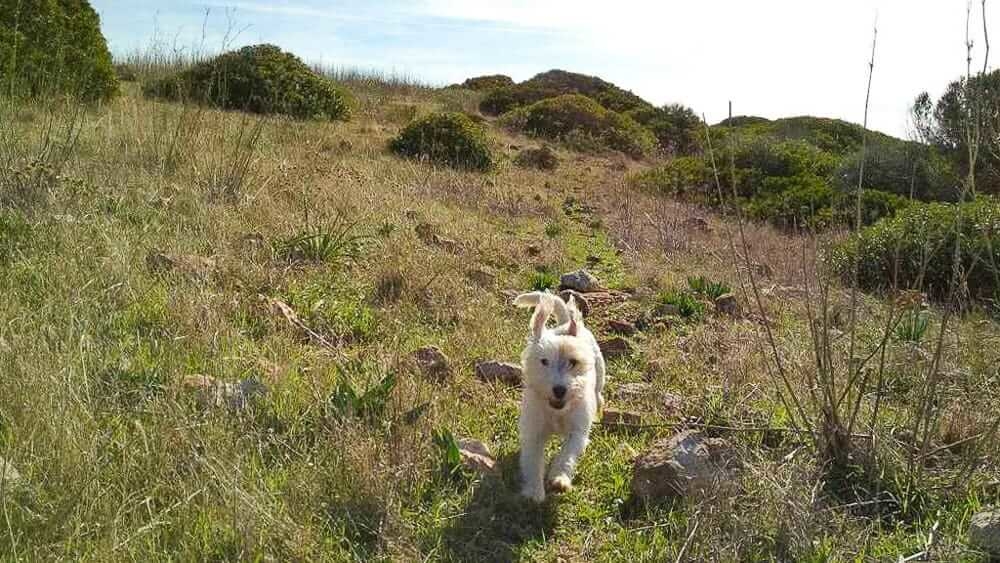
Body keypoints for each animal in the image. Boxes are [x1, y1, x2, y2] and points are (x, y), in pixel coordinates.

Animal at [516, 290, 600, 502]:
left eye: (573, 362)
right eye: (544, 361)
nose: (560, 390)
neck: (556, 411)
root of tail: (566, 323)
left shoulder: (577, 432)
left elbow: (566, 455)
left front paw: (559, 478)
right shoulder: (534, 433)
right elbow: (533, 461)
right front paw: (535, 491)